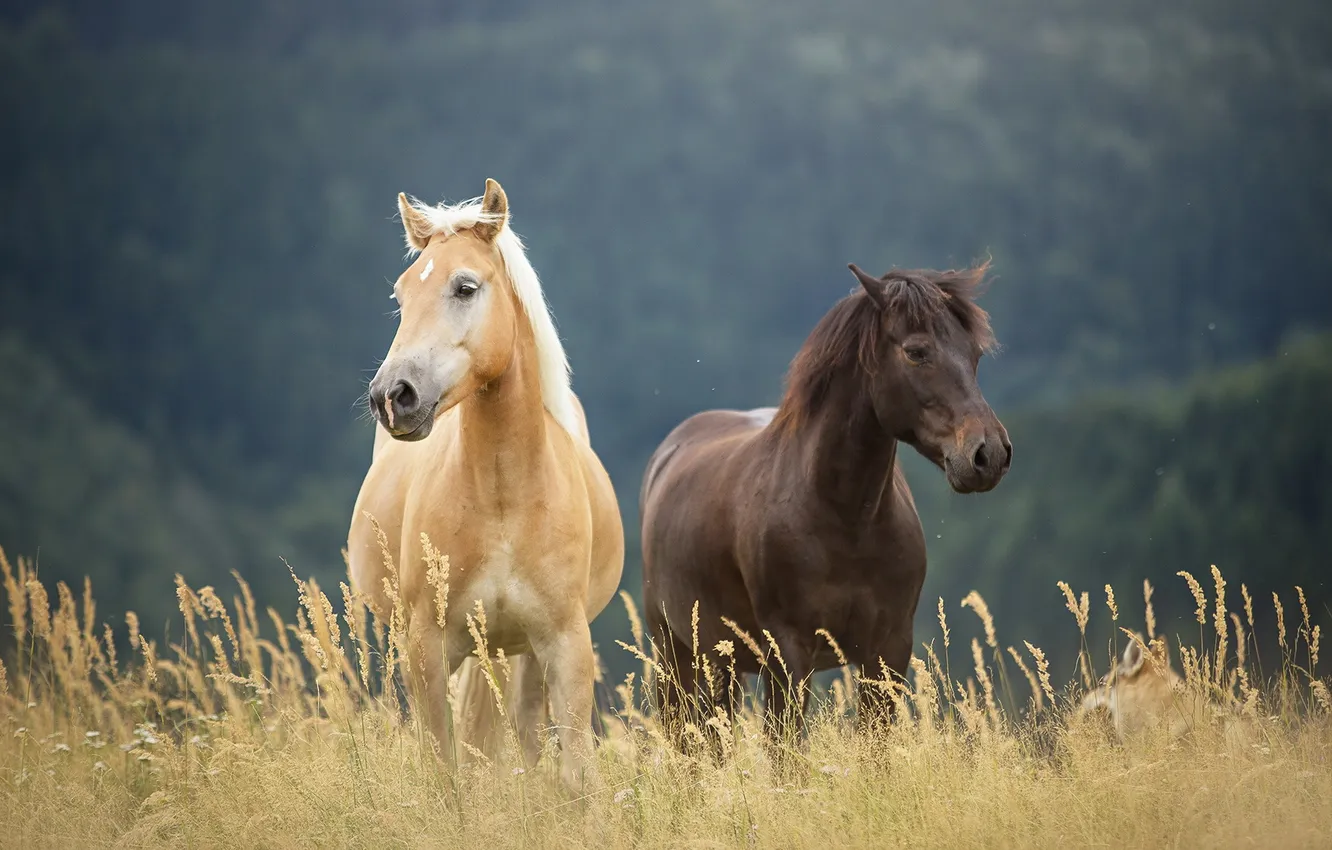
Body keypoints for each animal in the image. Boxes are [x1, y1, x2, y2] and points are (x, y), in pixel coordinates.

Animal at [347, 179, 624, 789]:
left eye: (465, 286)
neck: (504, 501)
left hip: (522, 655)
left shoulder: (566, 646)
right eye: (401, 295)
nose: (392, 395)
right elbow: (445, 773)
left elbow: (576, 777)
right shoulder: (426, 649)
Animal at [640, 261, 1010, 742]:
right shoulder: (788, 654)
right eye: (916, 352)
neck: (845, 520)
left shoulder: (888, 650)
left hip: (723, 661)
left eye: (974, 354)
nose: (989, 454)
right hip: (674, 653)